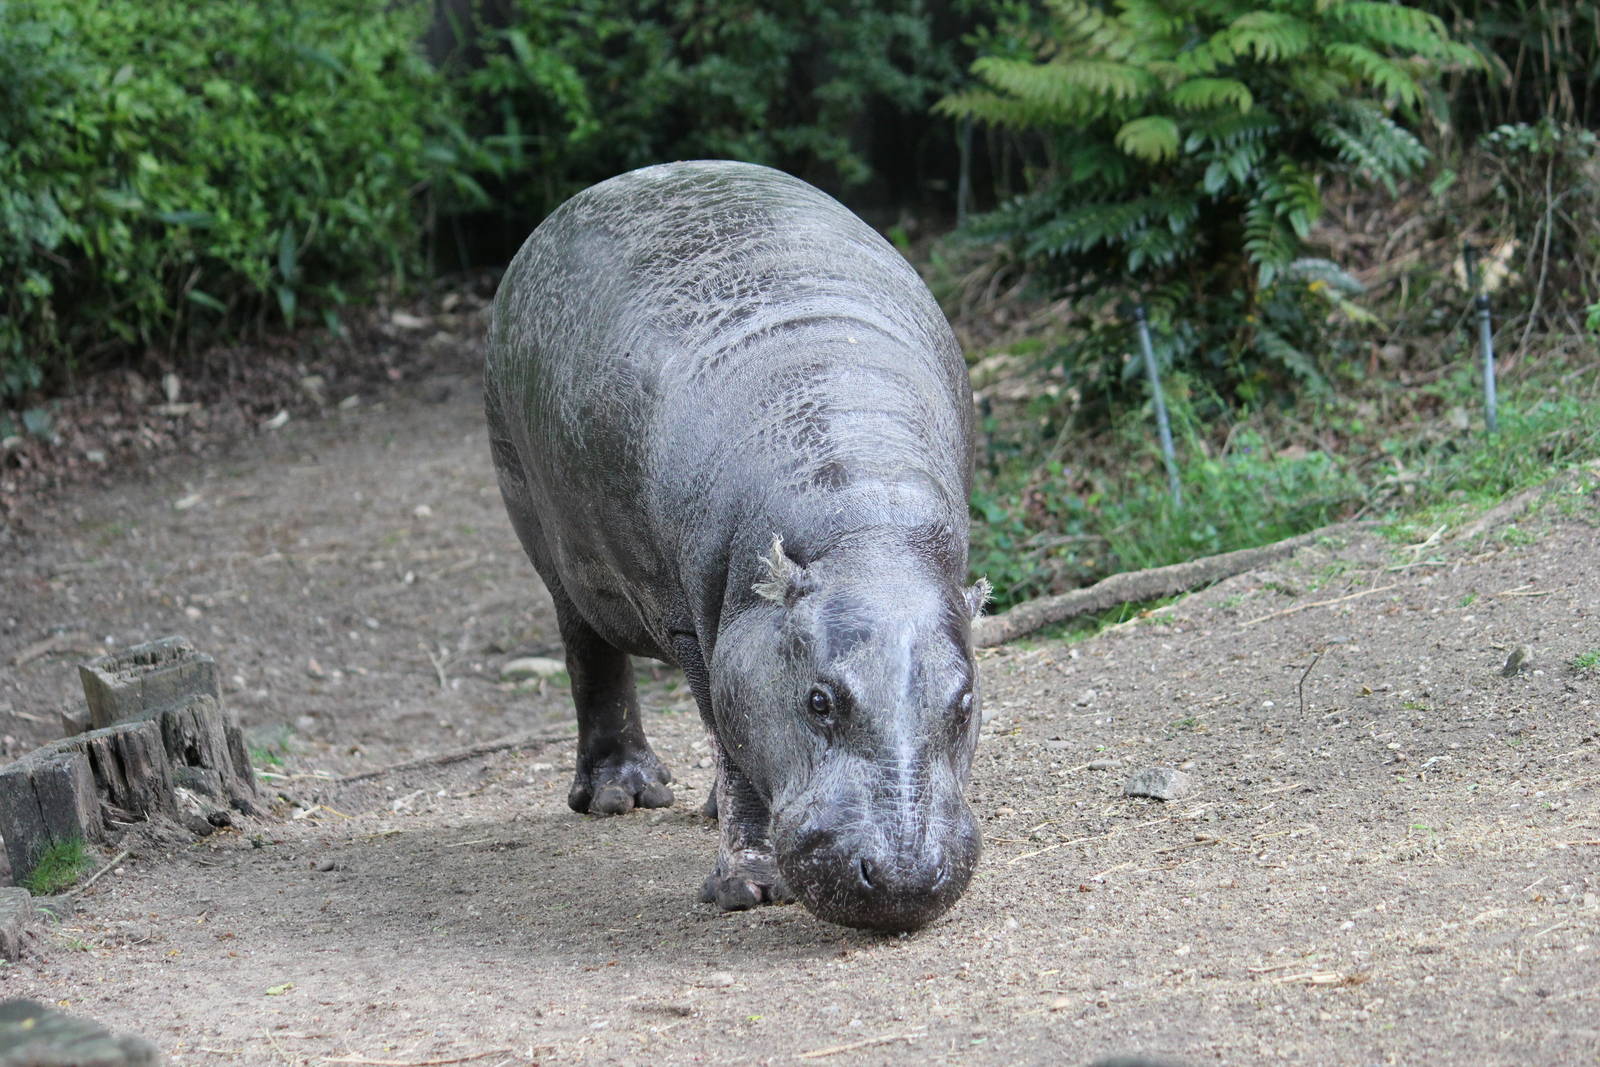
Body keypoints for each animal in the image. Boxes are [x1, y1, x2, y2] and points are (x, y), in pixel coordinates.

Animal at [484, 160, 986, 932]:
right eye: (818, 700)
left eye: (964, 704)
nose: (903, 879)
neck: (862, 533)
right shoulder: (695, 627)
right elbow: (732, 744)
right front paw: (745, 886)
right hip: (551, 545)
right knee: (590, 655)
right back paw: (621, 794)